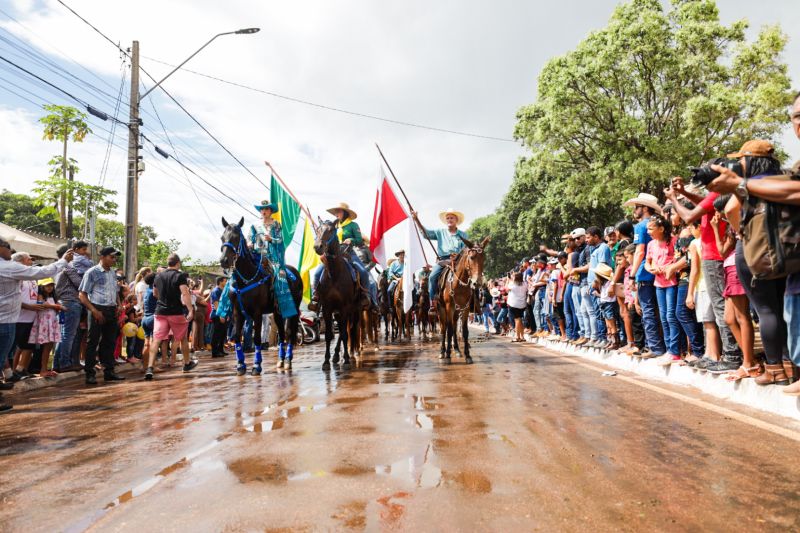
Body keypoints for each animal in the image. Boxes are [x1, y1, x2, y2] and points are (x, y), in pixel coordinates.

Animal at [219, 216, 304, 374]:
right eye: (222, 237)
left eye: (236, 237)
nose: (224, 261)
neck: (245, 279)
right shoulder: (237, 313)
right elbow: (237, 338)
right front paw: (240, 365)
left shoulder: (257, 313)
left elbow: (257, 338)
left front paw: (256, 366)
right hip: (277, 312)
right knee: (281, 334)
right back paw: (280, 361)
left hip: (293, 309)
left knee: (289, 333)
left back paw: (288, 361)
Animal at [314, 218, 360, 368]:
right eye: (317, 230)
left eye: (330, 230)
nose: (318, 246)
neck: (334, 274)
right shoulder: (327, 308)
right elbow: (329, 334)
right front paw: (326, 361)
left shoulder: (344, 307)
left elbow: (344, 334)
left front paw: (346, 359)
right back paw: (335, 356)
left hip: (354, 310)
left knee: (348, 329)